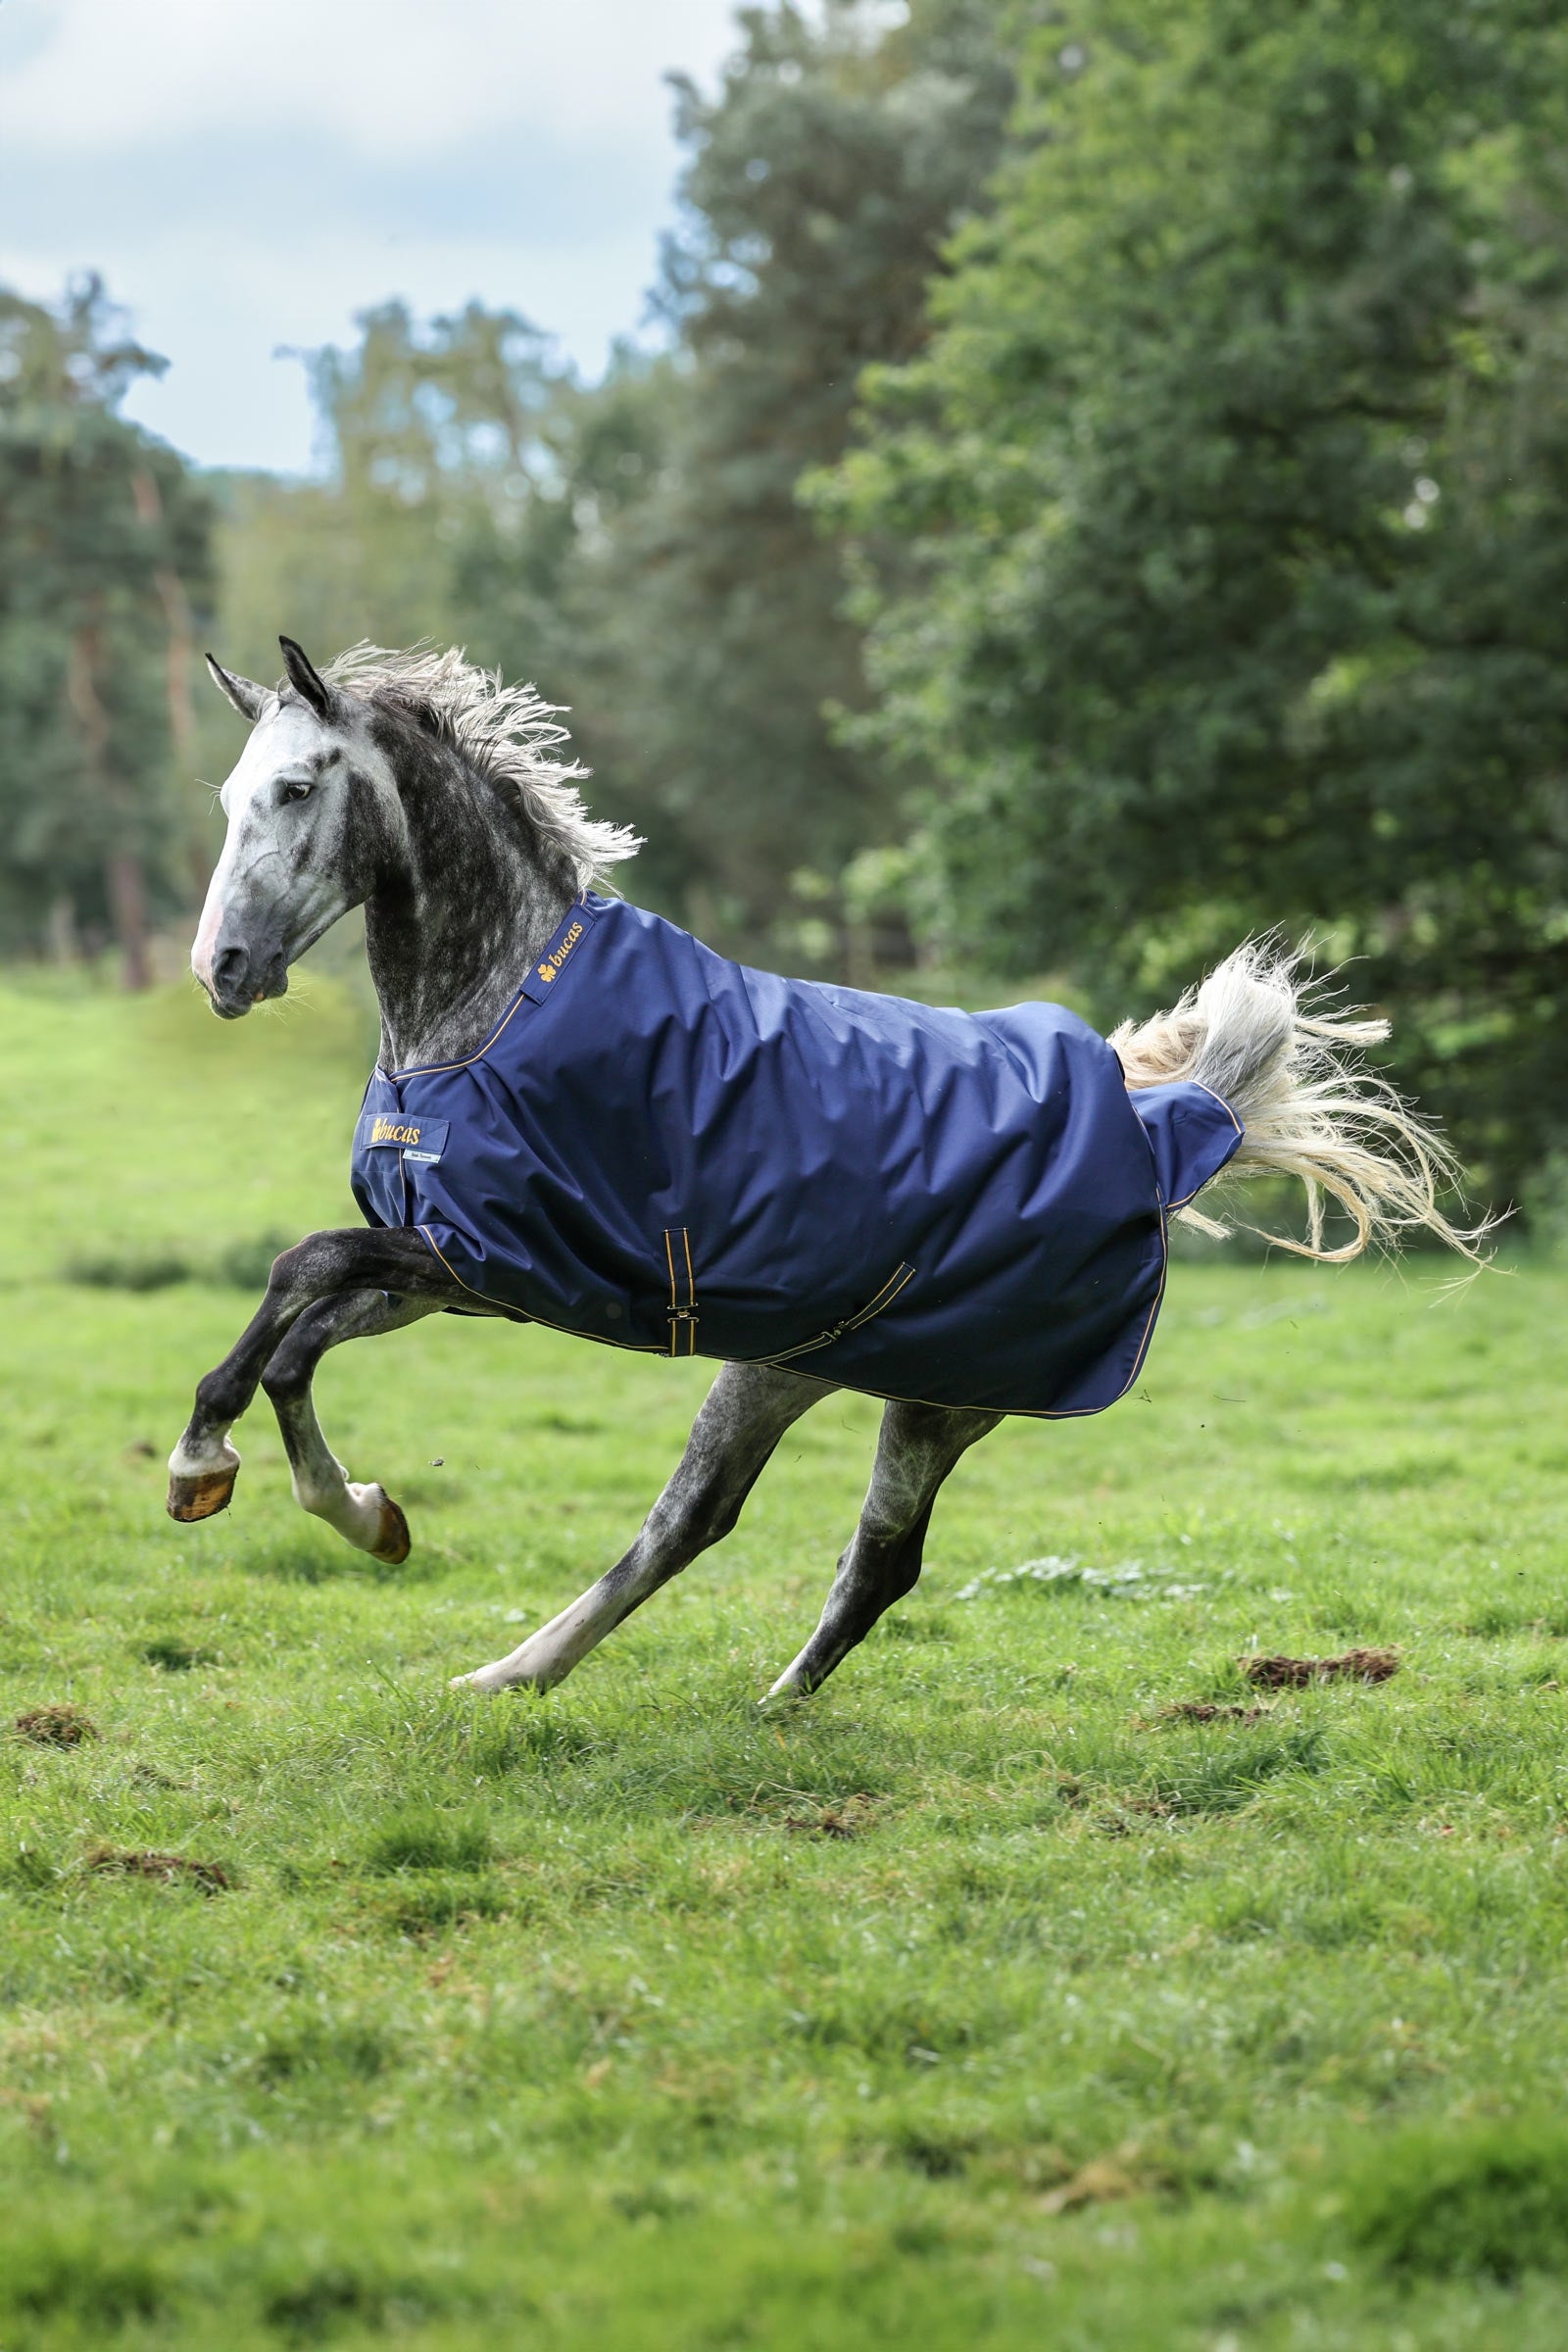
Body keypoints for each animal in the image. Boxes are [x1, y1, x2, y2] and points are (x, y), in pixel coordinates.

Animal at [167, 636, 1476, 1699]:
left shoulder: (508, 1262)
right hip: (794, 1367)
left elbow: (301, 1269)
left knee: (815, 1546)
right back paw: (572, 1681)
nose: (220, 971)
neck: (494, 1011)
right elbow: (293, 1337)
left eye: (295, 789)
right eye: (228, 795)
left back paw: (607, 1688)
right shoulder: (457, 1271)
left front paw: (216, 1470)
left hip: (933, 1397)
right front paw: (357, 1511)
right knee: (744, 1531)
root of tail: (1154, 1122)